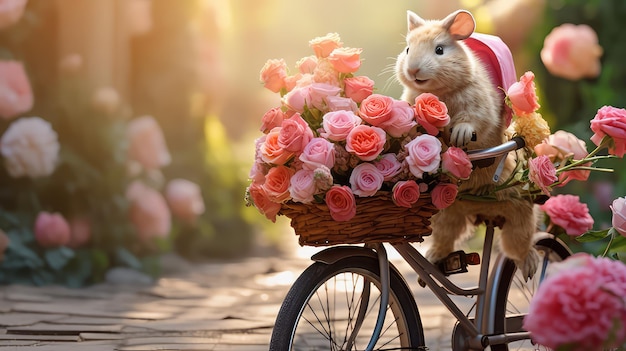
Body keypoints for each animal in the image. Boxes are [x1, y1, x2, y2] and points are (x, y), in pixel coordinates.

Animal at [394, 8, 536, 280]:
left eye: (440, 50)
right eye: (407, 49)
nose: (413, 70)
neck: (441, 92)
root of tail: (480, 212)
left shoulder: (479, 108)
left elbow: (473, 121)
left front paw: (459, 135)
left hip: (518, 210)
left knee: (520, 243)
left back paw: (530, 267)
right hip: (445, 215)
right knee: (446, 238)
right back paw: (432, 258)